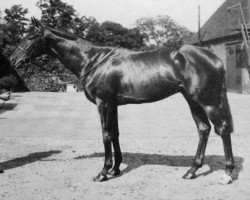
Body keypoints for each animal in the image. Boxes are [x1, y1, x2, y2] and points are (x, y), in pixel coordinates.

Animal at [9, 18, 235, 184]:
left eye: (30, 36)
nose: (12, 60)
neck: (93, 60)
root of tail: (215, 58)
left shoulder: (103, 103)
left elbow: (106, 135)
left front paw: (103, 172)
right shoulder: (113, 105)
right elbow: (115, 134)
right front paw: (116, 169)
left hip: (207, 100)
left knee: (222, 129)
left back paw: (227, 174)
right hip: (192, 100)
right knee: (204, 129)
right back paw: (192, 171)